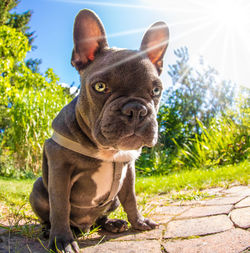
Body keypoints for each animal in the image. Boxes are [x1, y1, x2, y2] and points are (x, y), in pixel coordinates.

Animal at [29, 8, 170, 252]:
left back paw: (112, 223)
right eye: (100, 87)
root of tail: (84, 227)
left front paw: (138, 221)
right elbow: (60, 205)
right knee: (50, 215)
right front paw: (62, 240)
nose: (136, 109)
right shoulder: (59, 168)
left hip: (111, 201)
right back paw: (50, 231)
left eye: (156, 90)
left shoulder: (128, 170)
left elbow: (131, 199)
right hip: (38, 187)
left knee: (100, 218)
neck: (108, 149)